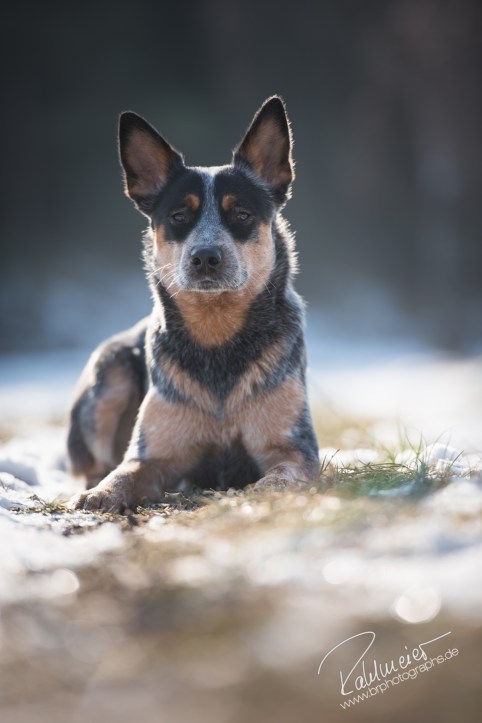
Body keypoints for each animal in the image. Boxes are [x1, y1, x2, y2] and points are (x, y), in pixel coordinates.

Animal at [68, 96, 320, 512]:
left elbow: (284, 473)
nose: (205, 256)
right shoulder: (151, 455)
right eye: (179, 216)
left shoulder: (294, 448)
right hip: (110, 373)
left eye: (242, 214)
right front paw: (99, 494)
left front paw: (266, 490)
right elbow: (121, 474)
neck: (217, 338)